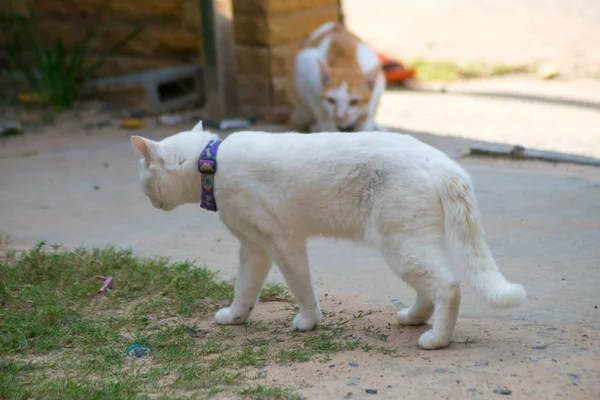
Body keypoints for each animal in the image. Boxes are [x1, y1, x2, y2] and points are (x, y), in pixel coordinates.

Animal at [131, 122, 524, 350]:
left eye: (144, 177)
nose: (148, 199)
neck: (211, 163)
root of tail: (441, 162)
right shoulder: (254, 248)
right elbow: (244, 289)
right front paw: (235, 317)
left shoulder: (283, 244)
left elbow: (301, 288)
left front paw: (307, 322)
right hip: (411, 242)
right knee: (431, 287)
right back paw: (413, 318)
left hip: (400, 245)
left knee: (449, 285)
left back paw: (437, 339)